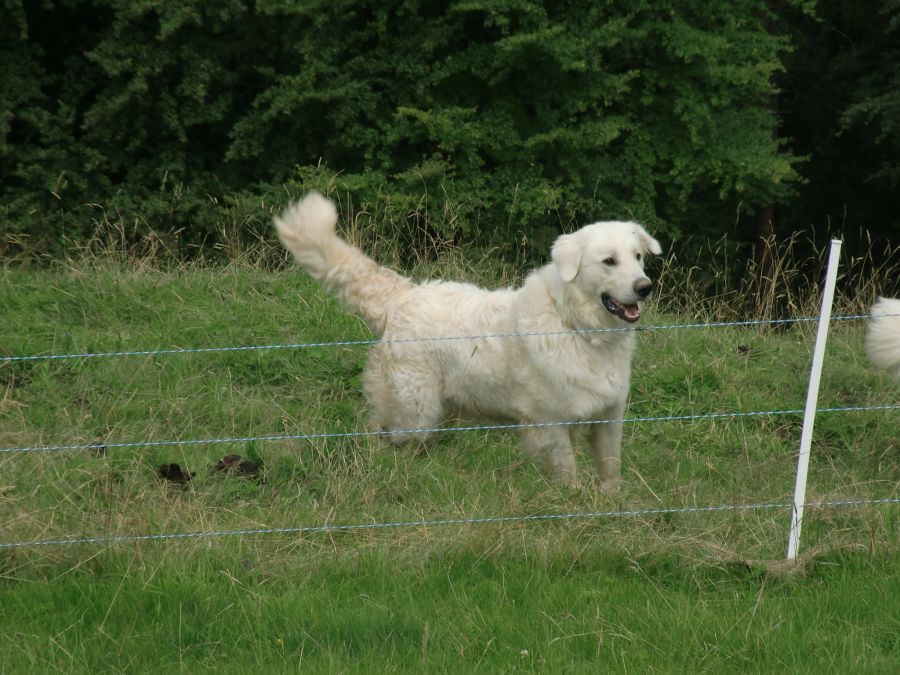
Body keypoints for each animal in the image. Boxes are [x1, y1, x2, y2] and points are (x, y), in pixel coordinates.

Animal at [274, 191, 660, 486]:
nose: (645, 287)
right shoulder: (549, 426)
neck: (576, 326)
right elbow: (569, 476)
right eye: (609, 261)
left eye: (638, 257)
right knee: (384, 434)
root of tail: (402, 295)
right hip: (416, 413)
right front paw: (573, 507)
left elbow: (611, 472)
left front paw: (610, 505)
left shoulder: (609, 420)